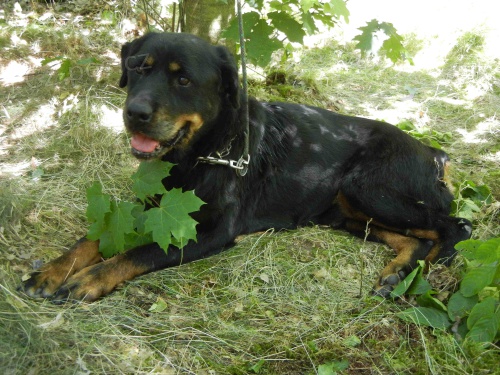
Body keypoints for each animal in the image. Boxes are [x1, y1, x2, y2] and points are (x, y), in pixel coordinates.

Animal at [20, 31, 472, 302]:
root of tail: (435, 154)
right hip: (344, 212)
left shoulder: (210, 230)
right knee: (414, 238)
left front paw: (90, 278)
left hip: (368, 188)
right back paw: (398, 272)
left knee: (455, 227)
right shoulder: (149, 203)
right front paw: (54, 270)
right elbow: (94, 236)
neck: (201, 152)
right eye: (137, 68)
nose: (135, 113)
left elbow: (140, 250)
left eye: (183, 80)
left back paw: (425, 271)